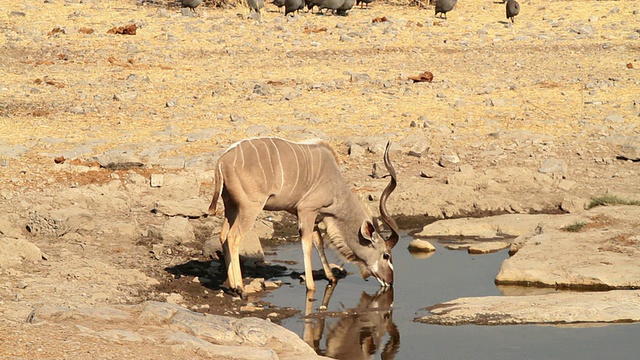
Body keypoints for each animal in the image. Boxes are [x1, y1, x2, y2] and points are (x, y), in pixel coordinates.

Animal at [209, 138, 400, 296]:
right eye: (386, 255)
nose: (390, 282)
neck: (335, 185)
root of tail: (222, 161)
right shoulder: (306, 211)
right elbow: (307, 245)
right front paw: (311, 285)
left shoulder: (313, 215)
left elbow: (319, 242)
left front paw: (331, 277)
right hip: (249, 208)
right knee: (233, 237)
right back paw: (240, 288)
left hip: (231, 207)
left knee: (223, 235)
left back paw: (232, 285)